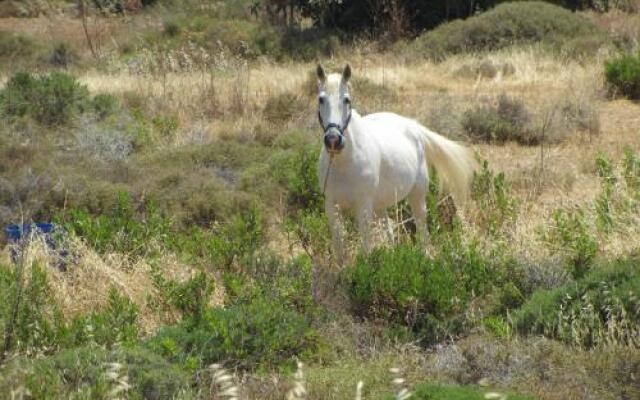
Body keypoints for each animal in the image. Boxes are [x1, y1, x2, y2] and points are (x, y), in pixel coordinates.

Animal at [318, 65, 478, 260]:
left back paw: (424, 256)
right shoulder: (331, 206)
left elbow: (365, 245)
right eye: (321, 99)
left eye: (347, 99)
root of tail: (413, 126)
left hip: (417, 195)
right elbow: (339, 246)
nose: (333, 140)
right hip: (381, 204)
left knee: (422, 228)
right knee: (389, 230)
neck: (344, 163)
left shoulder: (363, 206)